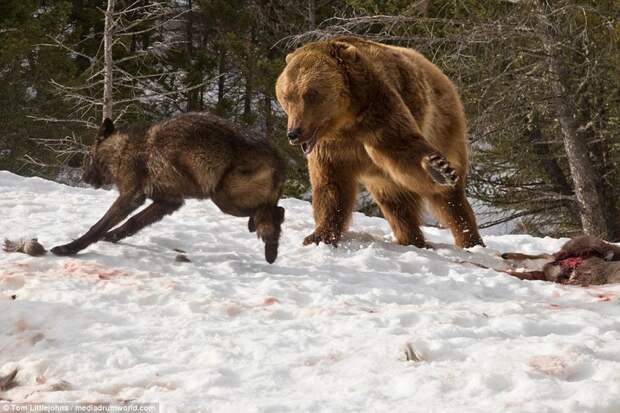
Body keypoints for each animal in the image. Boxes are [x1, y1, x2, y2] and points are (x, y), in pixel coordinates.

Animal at [52, 111, 286, 262]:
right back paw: (268, 245)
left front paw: (68, 248)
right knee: (275, 211)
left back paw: (267, 243)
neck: (122, 151)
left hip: (223, 198)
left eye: (89, 158)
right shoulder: (168, 202)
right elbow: (134, 222)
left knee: (272, 211)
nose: (84, 178)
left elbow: (98, 226)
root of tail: (279, 158)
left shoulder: (130, 197)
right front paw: (113, 236)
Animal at [274, 36, 484, 248]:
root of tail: (436, 69)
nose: (294, 133)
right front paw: (319, 235)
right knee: (396, 201)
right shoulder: (329, 148)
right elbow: (330, 186)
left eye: (311, 94)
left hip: (443, 125)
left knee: (447, 197)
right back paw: (411, 238)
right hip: (381, 178)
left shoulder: (378, 111)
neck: (344, 122)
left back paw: (469, 239)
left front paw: (437, 167)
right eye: (287, 95)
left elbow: (403, 147)